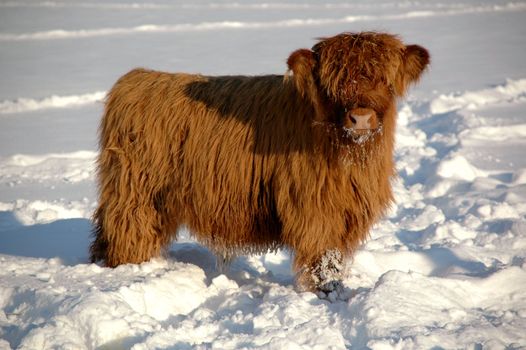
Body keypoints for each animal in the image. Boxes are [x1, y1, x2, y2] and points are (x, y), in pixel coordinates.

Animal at [89, 32, 428, 290]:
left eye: (385, 81)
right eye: (332, 83)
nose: (360, 118)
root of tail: (136, 78)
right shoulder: (315, 210)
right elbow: (322, 259)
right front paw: (327, 293)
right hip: (136, 193)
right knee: (128, 231)